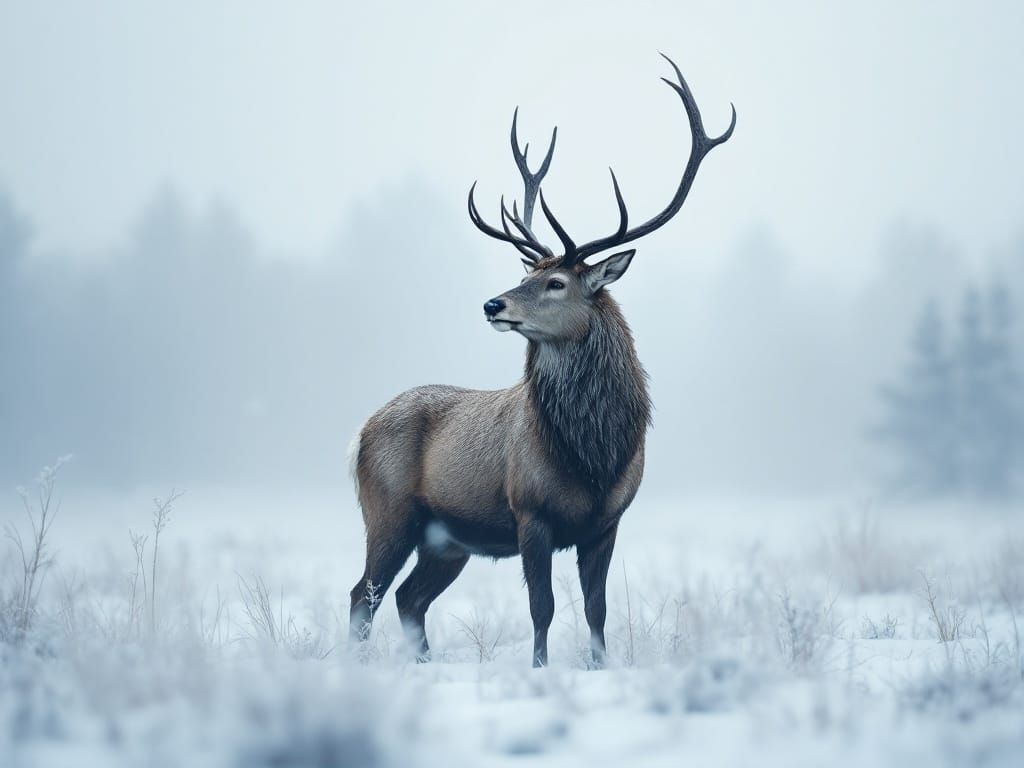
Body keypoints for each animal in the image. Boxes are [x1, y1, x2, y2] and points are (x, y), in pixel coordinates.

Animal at [349, 55, 735, 667]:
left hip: (448, 540)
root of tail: (360, 432)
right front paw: (540, 669)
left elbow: (597, 609)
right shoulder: (530, 512)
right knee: (362, 598)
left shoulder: (607, 522)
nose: (493, 303)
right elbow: (543, 609)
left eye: (555, 282)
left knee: (409, 598)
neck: (595, 453)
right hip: (388, 511)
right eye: (528, 273)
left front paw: (599, 665)